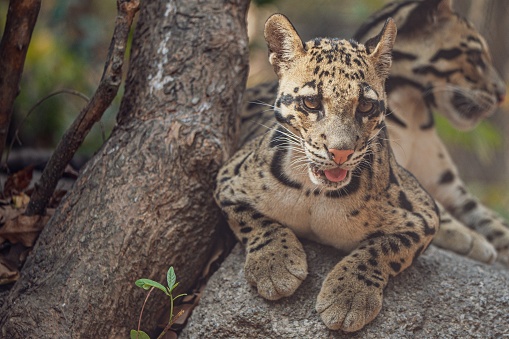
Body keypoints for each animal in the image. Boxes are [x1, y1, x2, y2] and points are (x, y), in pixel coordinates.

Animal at [242, 0, 508, 266]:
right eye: (474, 56)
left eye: (365, 106)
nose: (502, 94)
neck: (415, 114)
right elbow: (440, 210)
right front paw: (473, 240)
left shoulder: (448, 182)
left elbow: (483, 214)